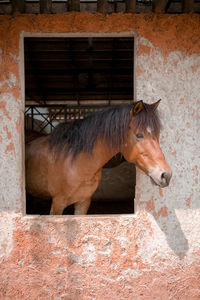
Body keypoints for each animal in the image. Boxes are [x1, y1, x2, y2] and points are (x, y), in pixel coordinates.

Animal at [25, 101, 172, 216]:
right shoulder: (58, 203)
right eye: (139, 135)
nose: (166, 175)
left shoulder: (83, 202)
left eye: (157, 134)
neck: (77, 163)